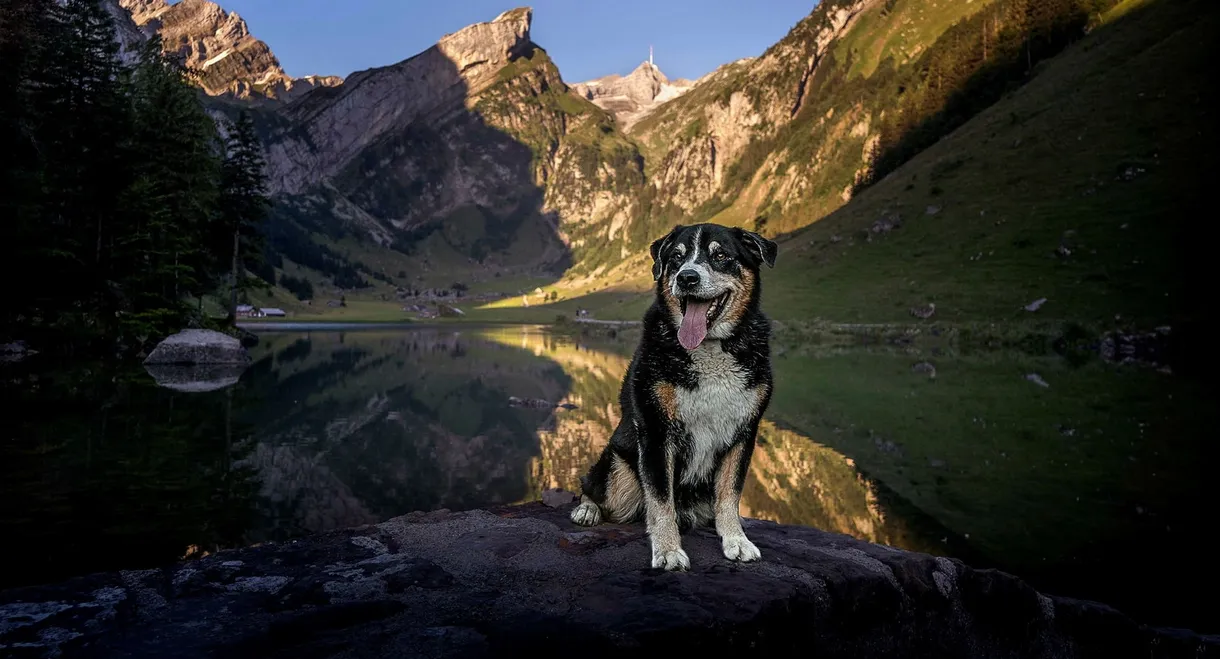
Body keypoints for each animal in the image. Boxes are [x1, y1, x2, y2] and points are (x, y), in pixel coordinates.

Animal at [568, 222, 775, 571]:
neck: (710, 349)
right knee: (594, 487)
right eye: (676, 258)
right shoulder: (656, 430)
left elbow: (730, 494)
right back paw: (587, 509)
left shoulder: (744, 433)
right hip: (618, 469)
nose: (687, 277)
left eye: (721, 256)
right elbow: (661, 499)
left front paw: (736, 540)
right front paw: (667, 551)